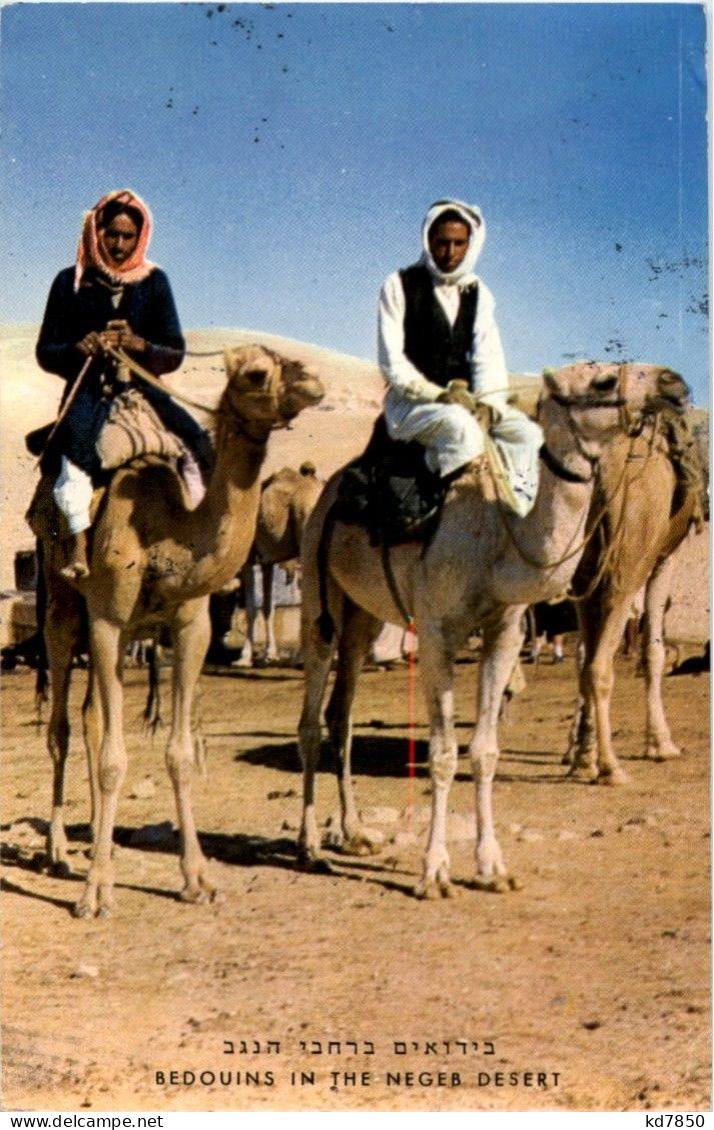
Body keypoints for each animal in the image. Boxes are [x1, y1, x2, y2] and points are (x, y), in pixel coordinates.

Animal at [233, 461, 323, 664]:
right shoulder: (267, 560)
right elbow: (267, 606)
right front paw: (270, 653)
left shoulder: (247, 558)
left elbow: (251, 607)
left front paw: (244, 657)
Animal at [295, 366, 682, 894]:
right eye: (602, 380)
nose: (674, 383)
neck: (500, 538)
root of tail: (330, 490)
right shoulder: (436, 633)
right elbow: (442, 754)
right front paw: (434, 871)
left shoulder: (504, 633)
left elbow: (484, 751)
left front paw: (492, 867)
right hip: (319, 592)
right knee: (311, 715)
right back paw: (310, 845)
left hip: (362, 615)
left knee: (342, 713)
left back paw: (354, 833)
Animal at [562, 384, 704, 781]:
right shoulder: (664, 558)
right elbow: (653, 651)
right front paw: (661, 744)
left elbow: (584, 653)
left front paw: (582, 753)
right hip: (628, 562)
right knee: (601, 664)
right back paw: (612, 768)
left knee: (588, 660)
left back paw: (587, 760)